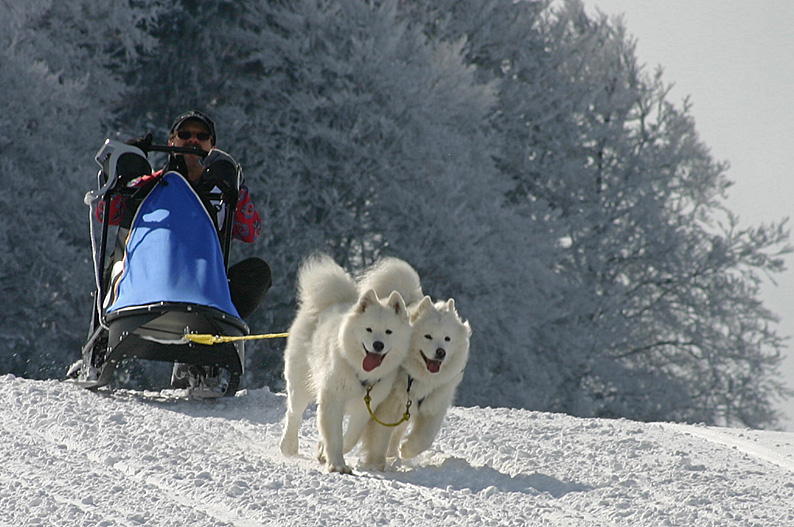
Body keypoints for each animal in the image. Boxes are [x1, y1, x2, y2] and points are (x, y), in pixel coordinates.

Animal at [278, 255, 412, 474]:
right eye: (368, 329)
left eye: (389, 332)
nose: (378, 345)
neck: (358, 371)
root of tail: (331, 302)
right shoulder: (333, 399)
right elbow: (334, 437)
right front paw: (337, 465)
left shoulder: (364, 407)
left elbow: (351, 436)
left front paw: (325, 453)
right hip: (301, 385)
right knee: (293, 414)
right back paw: (288, 447)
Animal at [352, 258, 470, 470]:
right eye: (428, 336)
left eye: (447, 339)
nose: (441, 352)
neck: (419, 378)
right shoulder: (388, 408)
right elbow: (379, 438)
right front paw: (376, 464)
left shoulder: (434, 406)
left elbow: (424, 439)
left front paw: (406, 451)